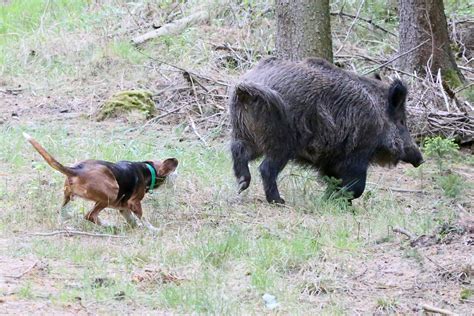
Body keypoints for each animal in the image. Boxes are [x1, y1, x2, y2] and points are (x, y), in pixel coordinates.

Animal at [23, 132, 178, 231]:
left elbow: (132, 220)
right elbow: (143, 218)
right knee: (90, 216)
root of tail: (76, 170)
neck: (147, 169)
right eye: (172, 175)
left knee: (64, 213)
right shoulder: (134, 203)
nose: (176, 178)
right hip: (111, 194)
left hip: (68, 197)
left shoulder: (123, 208)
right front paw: (153, 229)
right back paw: (110, 226)